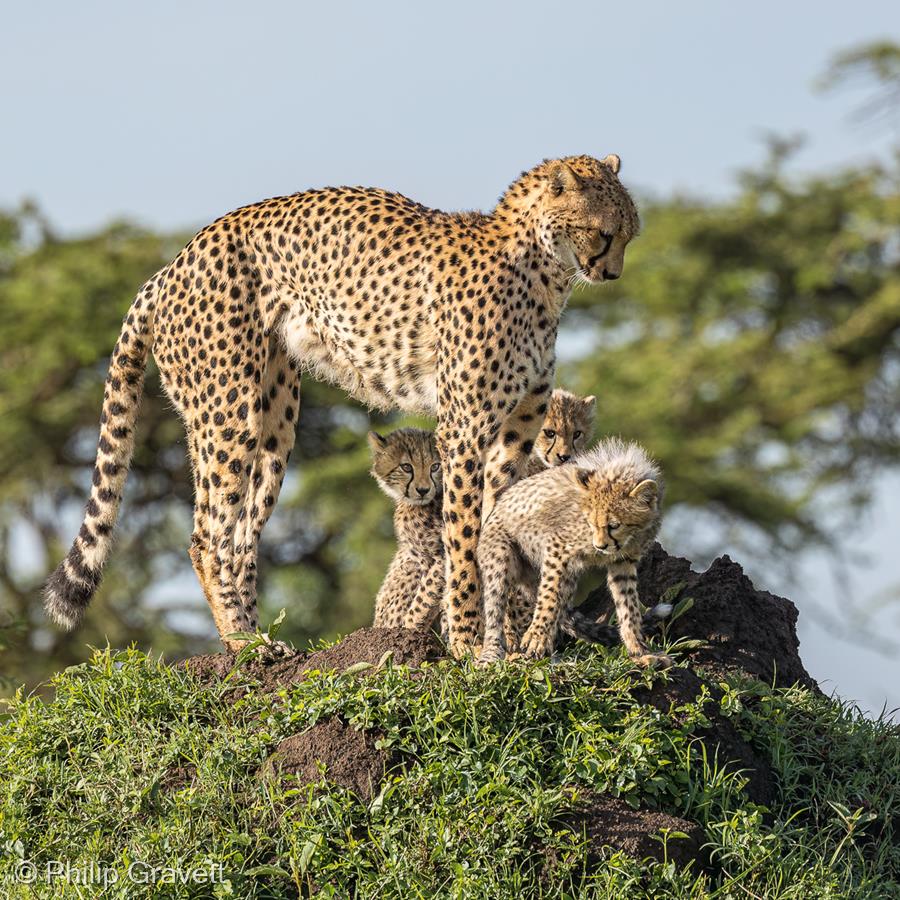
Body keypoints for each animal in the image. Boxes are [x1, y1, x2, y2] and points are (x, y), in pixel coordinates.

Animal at [45, 156, 640, 652]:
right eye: (604, 232)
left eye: (629, 235)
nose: (614, 273)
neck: (544, 273)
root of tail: (175, 262)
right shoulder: (465, 430)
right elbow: (465, 541)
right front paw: (470, 644)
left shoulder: (514, 433)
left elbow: (496, 528)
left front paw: (509, 638)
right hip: (229, 412)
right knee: (205, 538)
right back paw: (242, 645)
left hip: (276, 424)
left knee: (239, 539)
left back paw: (261, 640)